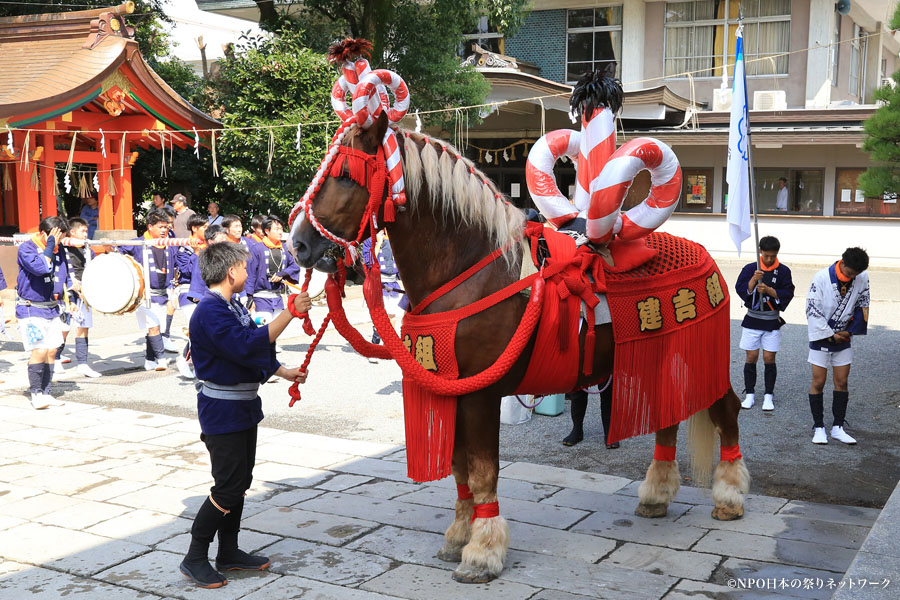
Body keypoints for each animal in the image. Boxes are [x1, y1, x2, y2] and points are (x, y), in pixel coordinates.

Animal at [288, 39, 744, 584]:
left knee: (726, 412)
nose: (297, 243)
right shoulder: (452, 387)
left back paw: (730, 496)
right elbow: (460, 469)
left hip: (698, 354)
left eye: (343, 175)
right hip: (654, 354)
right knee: (669, 417)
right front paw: (458, 534)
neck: (467, 272)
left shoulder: (480, 392)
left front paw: (482, 551)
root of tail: (704, 255)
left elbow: (483, 470)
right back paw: (656, 494)